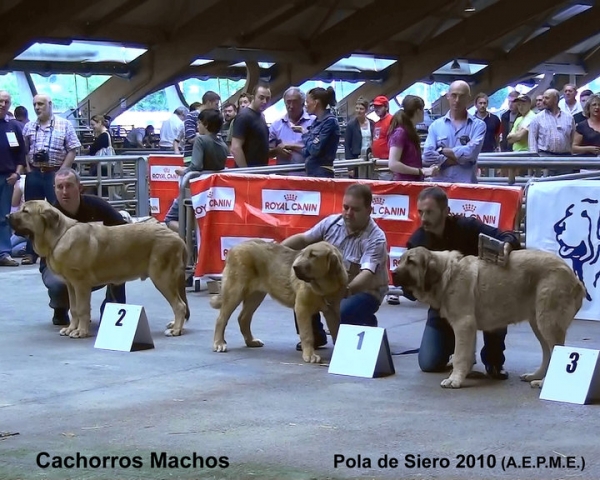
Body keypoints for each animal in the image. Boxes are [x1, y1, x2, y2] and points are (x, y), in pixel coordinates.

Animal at [210, 240, 346, 364]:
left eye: (313, 255)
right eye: (303, 254)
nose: (294, 267)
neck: (325, 286)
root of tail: (235, 247)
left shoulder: (332, 311)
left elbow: (337, 331)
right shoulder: (302, 308)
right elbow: (307, 335)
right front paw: (310, 355)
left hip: (256, 296)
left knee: (243, 318)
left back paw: (251, 341)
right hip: (235, 292)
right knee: (221, 319)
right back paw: (219, 343)